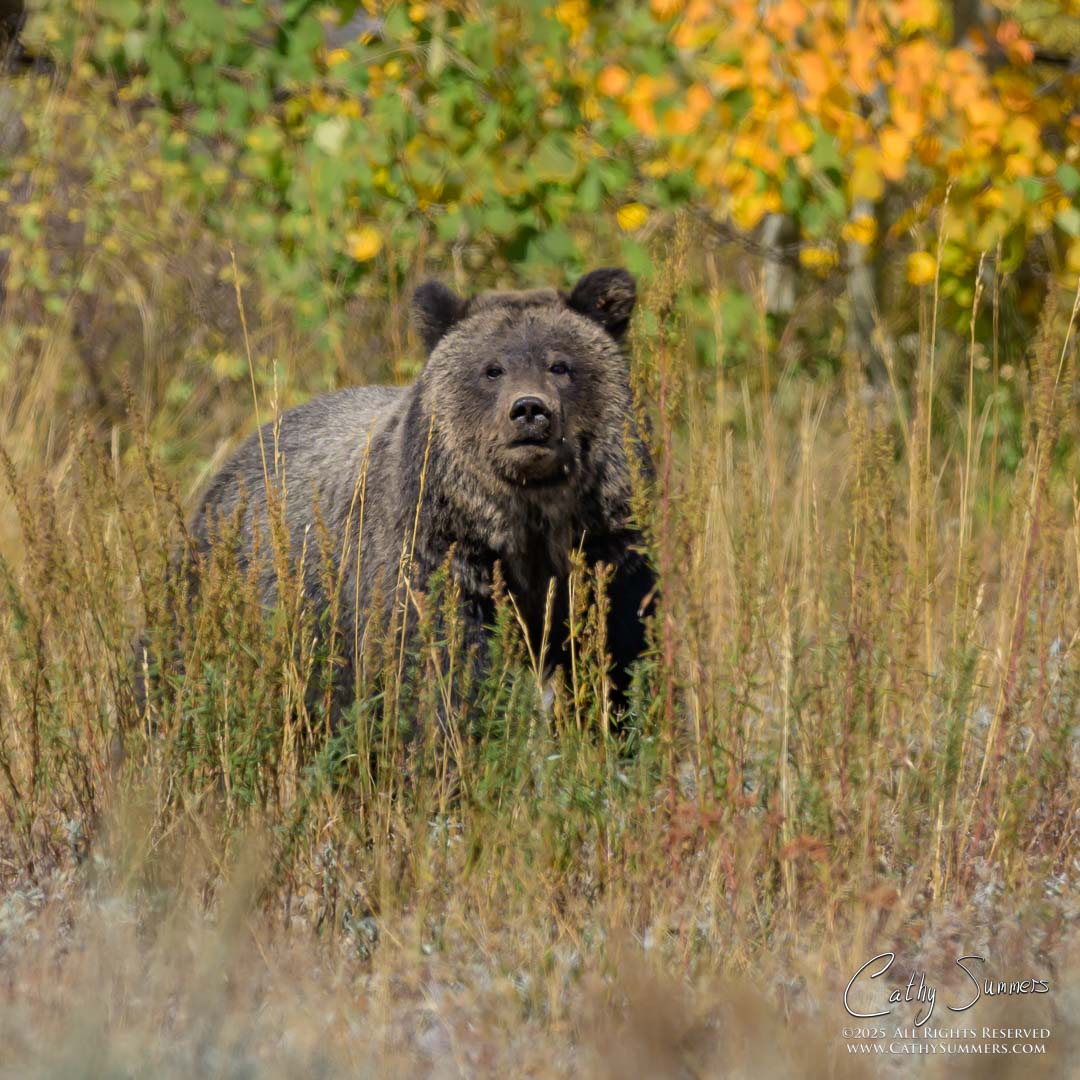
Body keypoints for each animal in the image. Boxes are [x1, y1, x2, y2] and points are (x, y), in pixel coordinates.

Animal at [185, 267, 655, 716]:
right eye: (492, 369)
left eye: (560, 364)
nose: (529, 410)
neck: (526, 521)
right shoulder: (435, 559)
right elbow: (442, 664)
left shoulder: (605, 549)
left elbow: (622, 649)